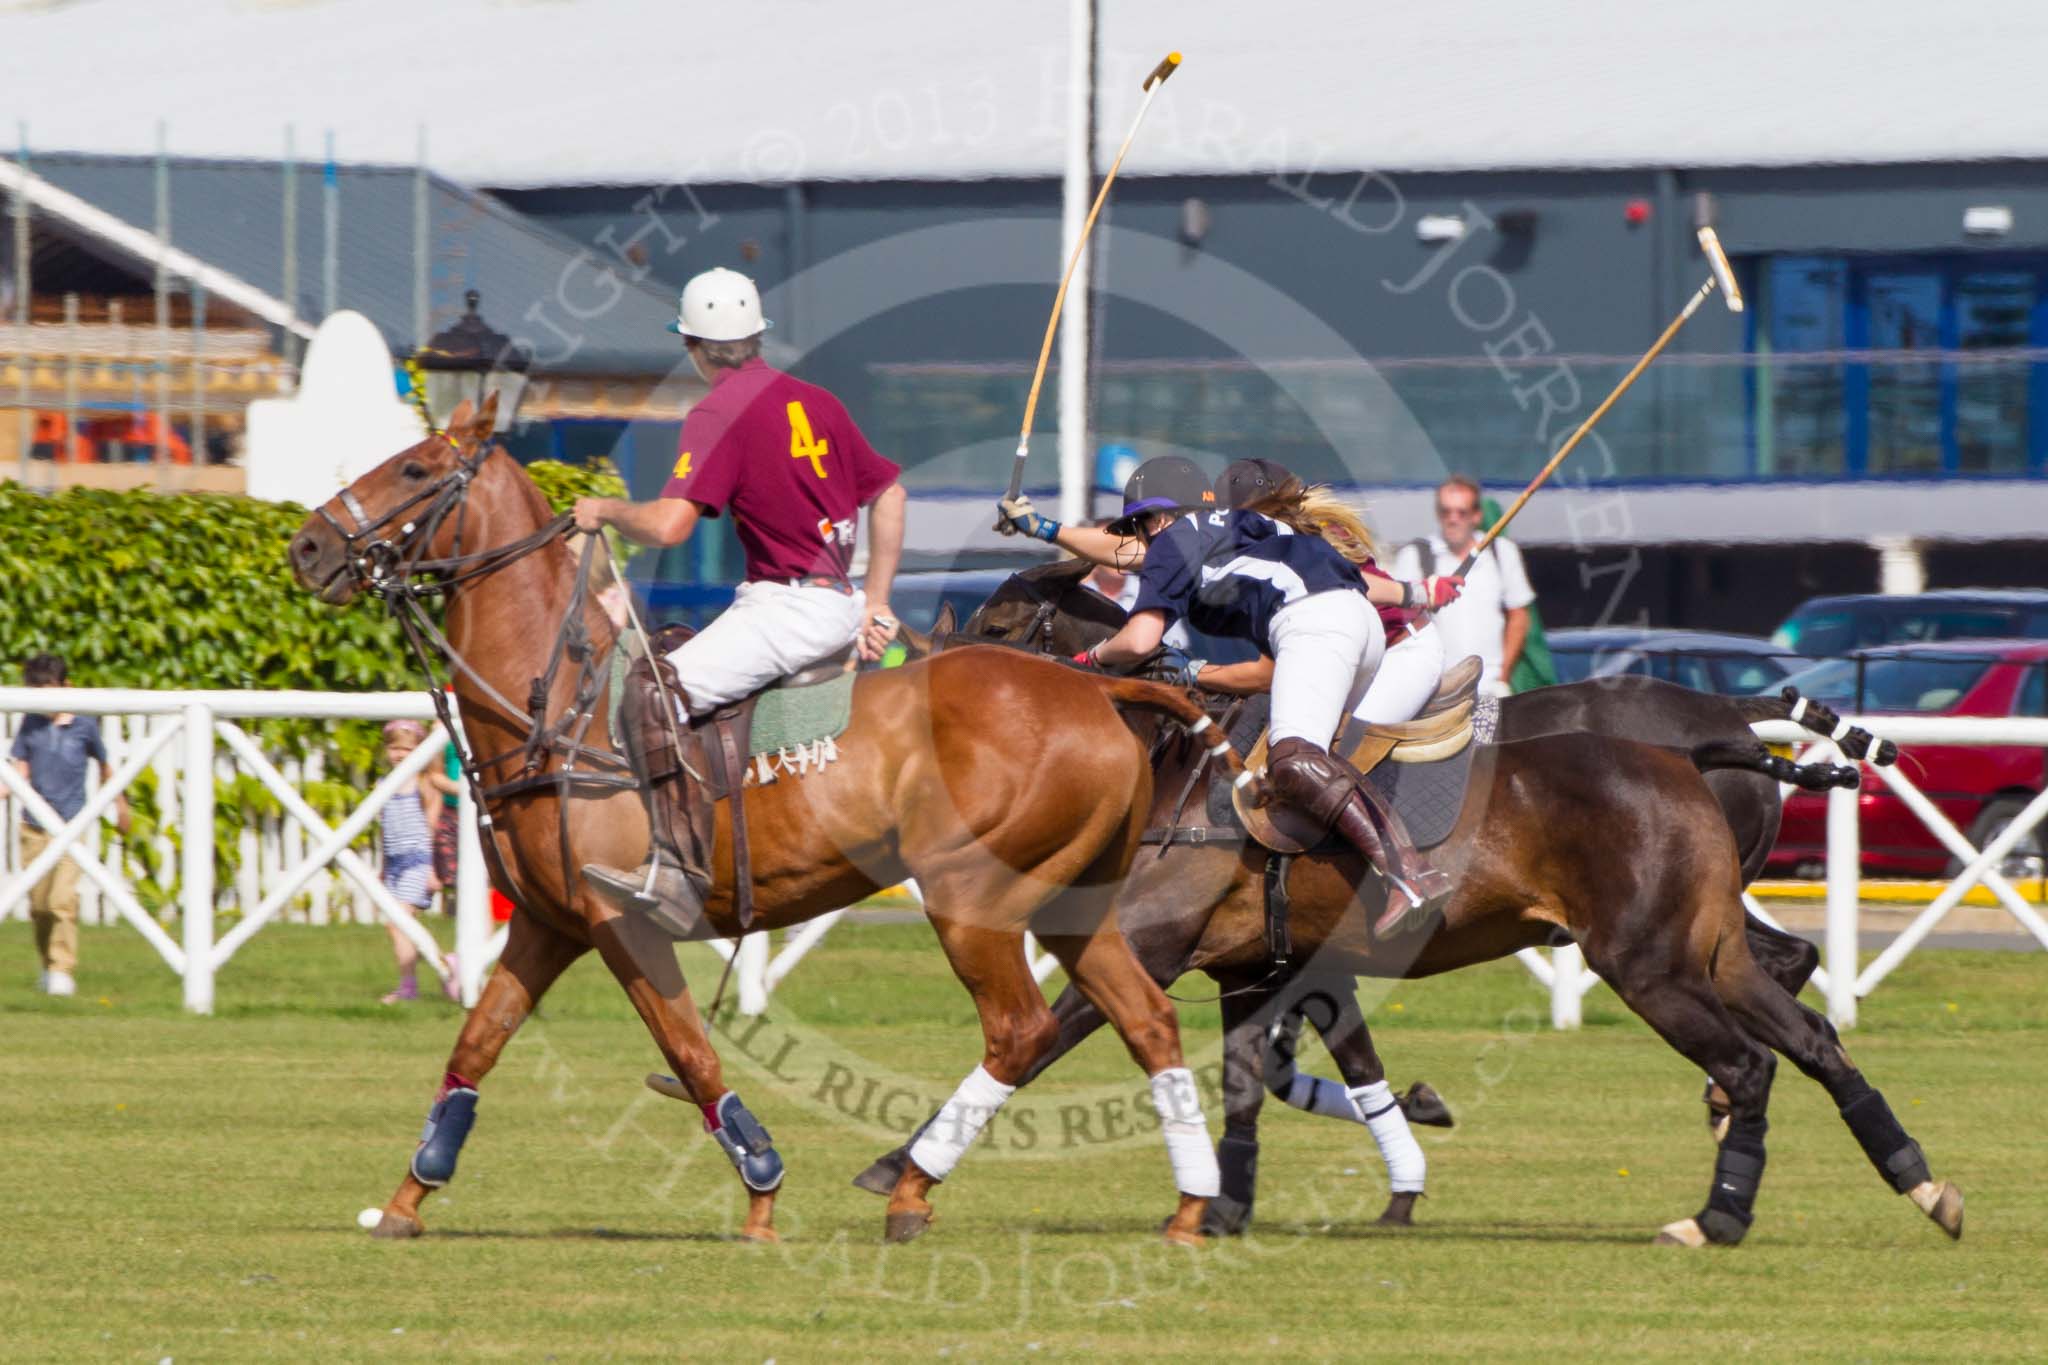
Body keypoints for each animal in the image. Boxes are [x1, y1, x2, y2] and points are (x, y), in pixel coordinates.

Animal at [284, 397, 1245, 1252]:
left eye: (415, 468)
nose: (307, 545)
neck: (560, 707)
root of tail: (1098, 688)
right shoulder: (551, 922)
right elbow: (477, 1042)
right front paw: (407, 1196)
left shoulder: (622, 918)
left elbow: (689, 1052)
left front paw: (761, 1194)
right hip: (1075, 904)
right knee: (1148, 1021)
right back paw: (1191, 1206)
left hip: (973, 899)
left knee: (1021, 1030)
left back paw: (910, 1187)